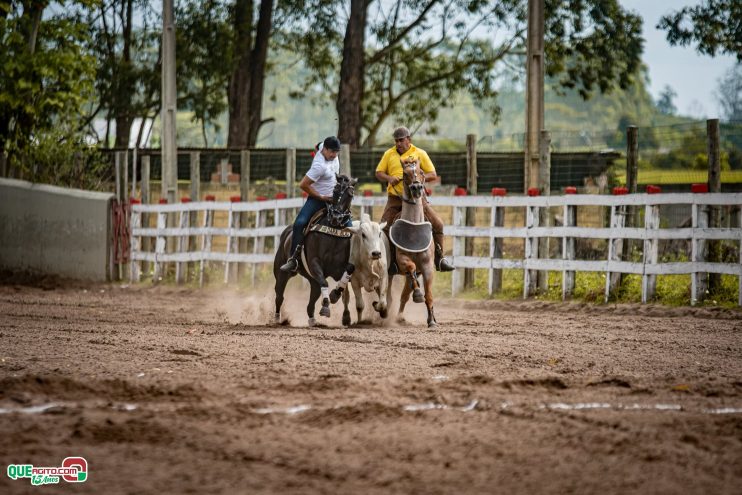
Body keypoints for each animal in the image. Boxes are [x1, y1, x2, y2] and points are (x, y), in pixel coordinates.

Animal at [274, 176, 358, 328]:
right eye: (335, 191)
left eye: (350, 194)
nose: (336, 217)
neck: (333, 232)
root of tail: (286, 232)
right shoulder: (315, 263)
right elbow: (325, 282)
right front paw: (325, 307)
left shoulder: (339, 268)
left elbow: (347, 277)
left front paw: (337, 300)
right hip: (281, 273)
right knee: (279, 295)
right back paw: (278, 318)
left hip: (312, 281)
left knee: (311, 302)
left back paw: (313, 320)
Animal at [386, 159, 438, 328]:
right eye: (405, 173)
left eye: (421, 172)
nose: (416, 188)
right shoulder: (402, 261)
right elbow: (410, 266)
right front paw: (418, 294)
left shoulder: (427, 267)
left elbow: (429, 295)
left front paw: (431, 320)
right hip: (390, 272)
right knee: (389, 293)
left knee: (404, 295)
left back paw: (400, 317)